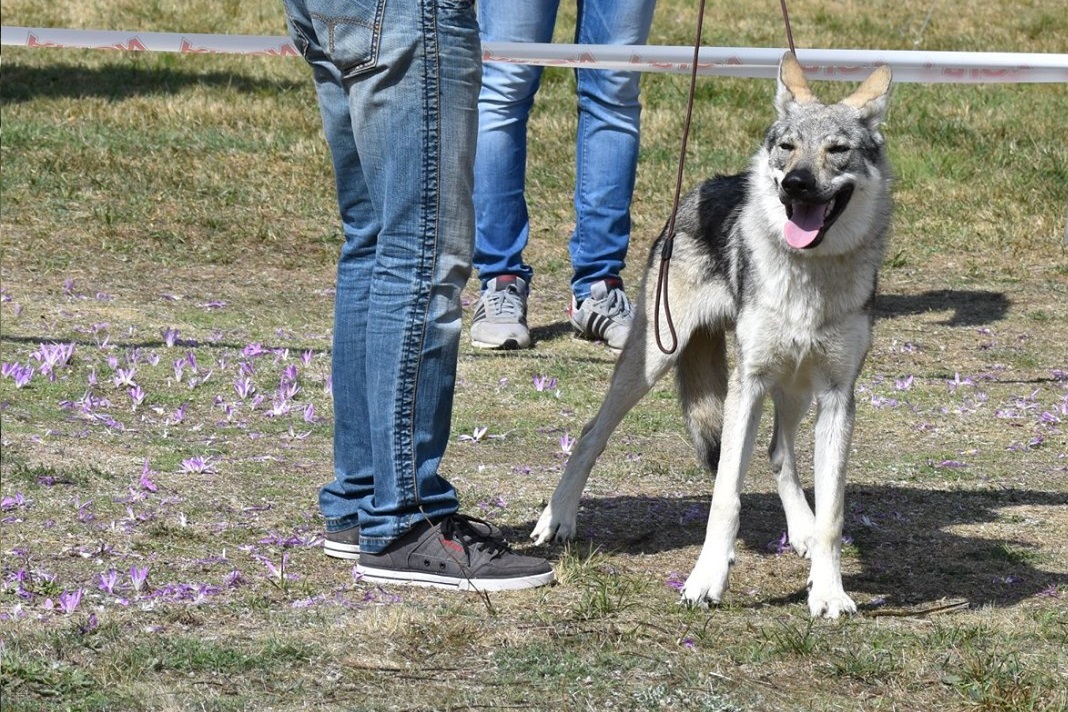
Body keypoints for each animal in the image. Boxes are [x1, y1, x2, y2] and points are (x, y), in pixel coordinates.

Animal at [531, 53, 893, 618]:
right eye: (788, 147)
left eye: (837, 151)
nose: (795, 184)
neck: (808, 277)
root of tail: (704, 187)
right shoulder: (747, 387)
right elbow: (725, 496)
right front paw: (705, 581)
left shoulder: (838, 396)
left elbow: (833, 513)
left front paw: (829, 591)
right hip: (655, 361)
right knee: (591, 433)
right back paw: (558, 517)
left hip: (795, 387)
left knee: (779, 453)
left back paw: (802, 531)